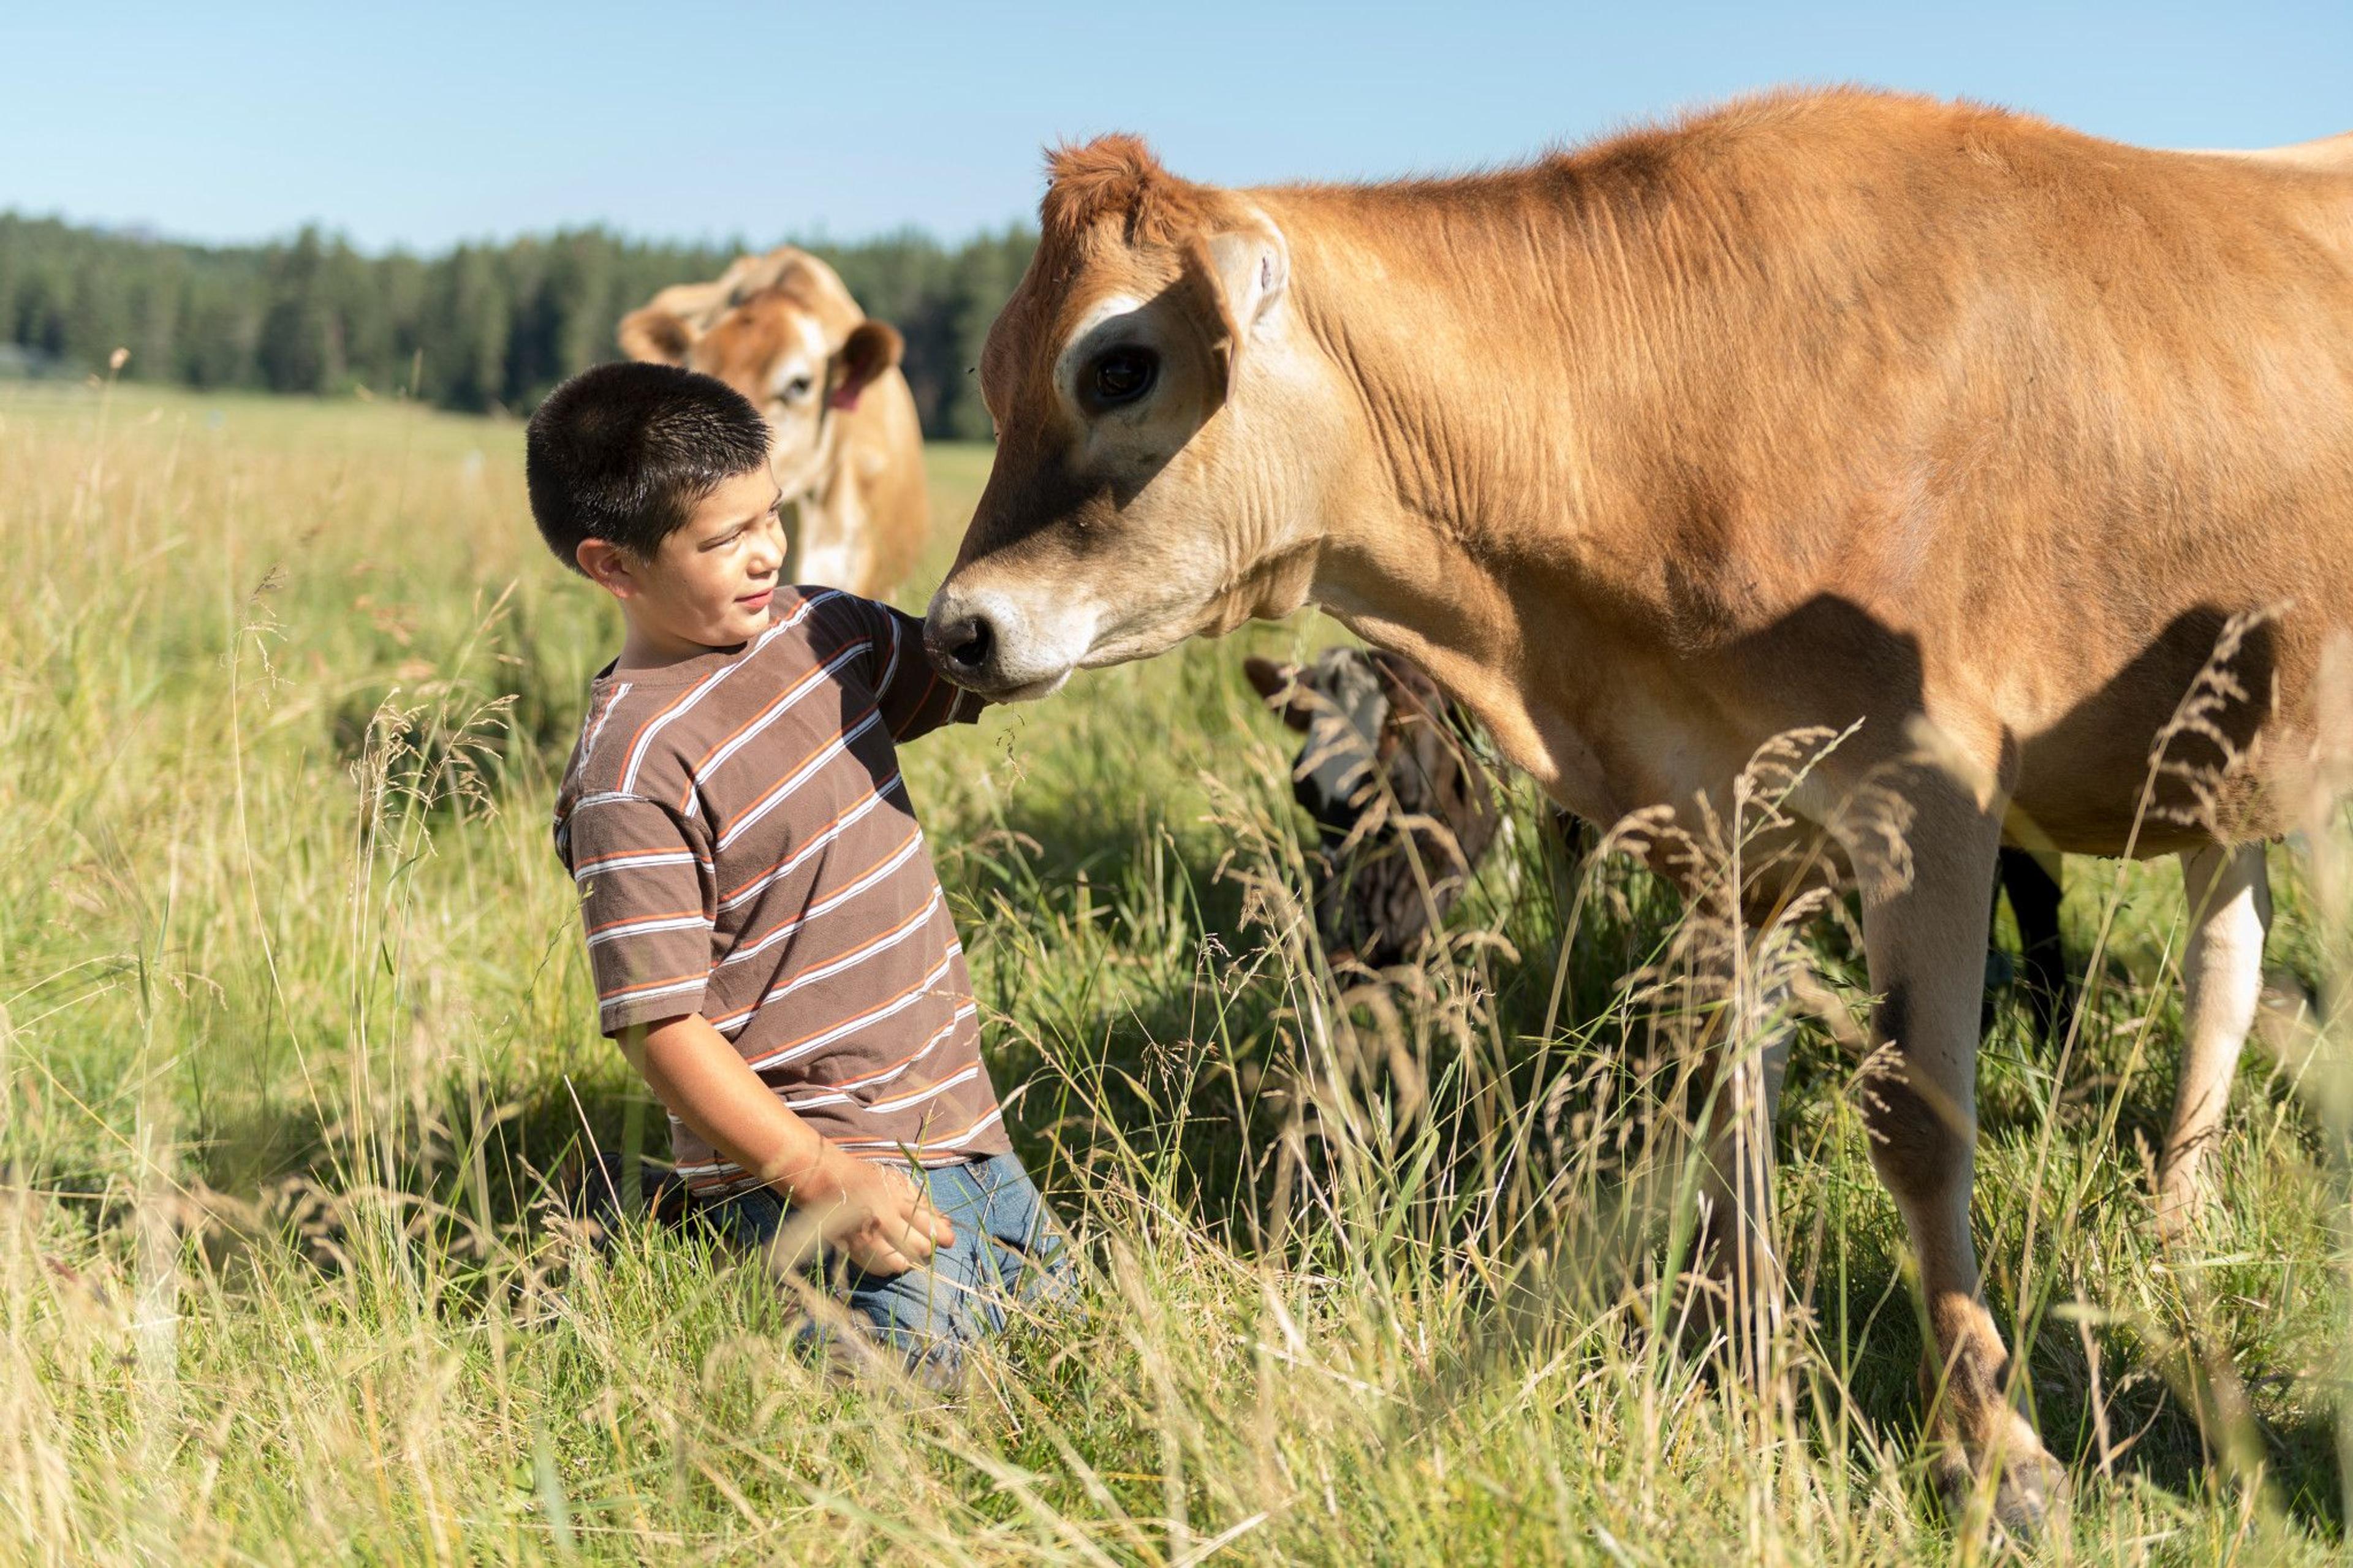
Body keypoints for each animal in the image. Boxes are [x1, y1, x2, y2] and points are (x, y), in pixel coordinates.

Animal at [926, 88, 2353, 1525]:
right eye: (993, 375)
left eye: (1118, 366)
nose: (957, 629)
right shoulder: (1724, 824)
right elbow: (1730, 1100)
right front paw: (1754, 1372)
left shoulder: (1934, 798)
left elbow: (1914, 1123)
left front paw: (1998, 1452)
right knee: (2229, 966)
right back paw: (2179, 1218)